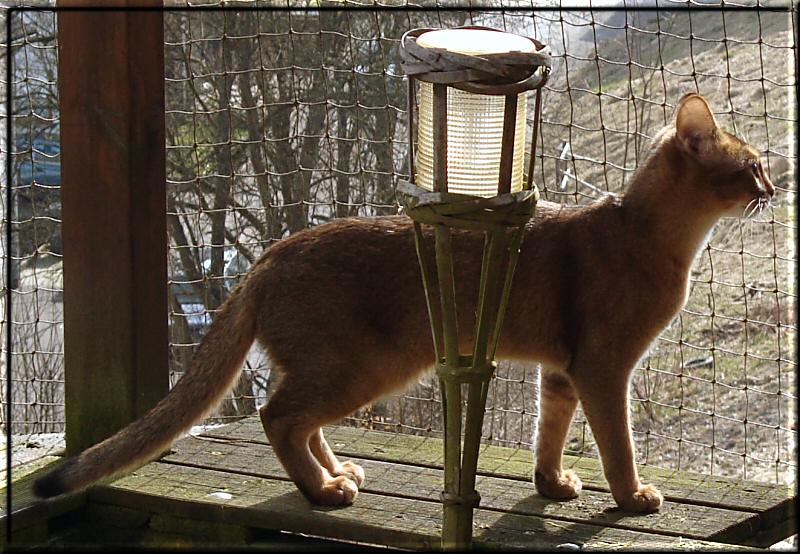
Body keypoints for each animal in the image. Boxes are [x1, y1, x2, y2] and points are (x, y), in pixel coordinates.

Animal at [32, 92, 776, 512]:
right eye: (752, 166)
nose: (774, 188)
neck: (645, 233)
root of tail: (269, 254)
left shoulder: (561, 371)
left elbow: (550, 431)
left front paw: (552, 483)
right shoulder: (602, 367)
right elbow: (617, 442)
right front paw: (632, 497)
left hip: (341, 365)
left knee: (299, 419)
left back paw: (338, 473)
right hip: (367, 365)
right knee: (279, 416)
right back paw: (322, 491)